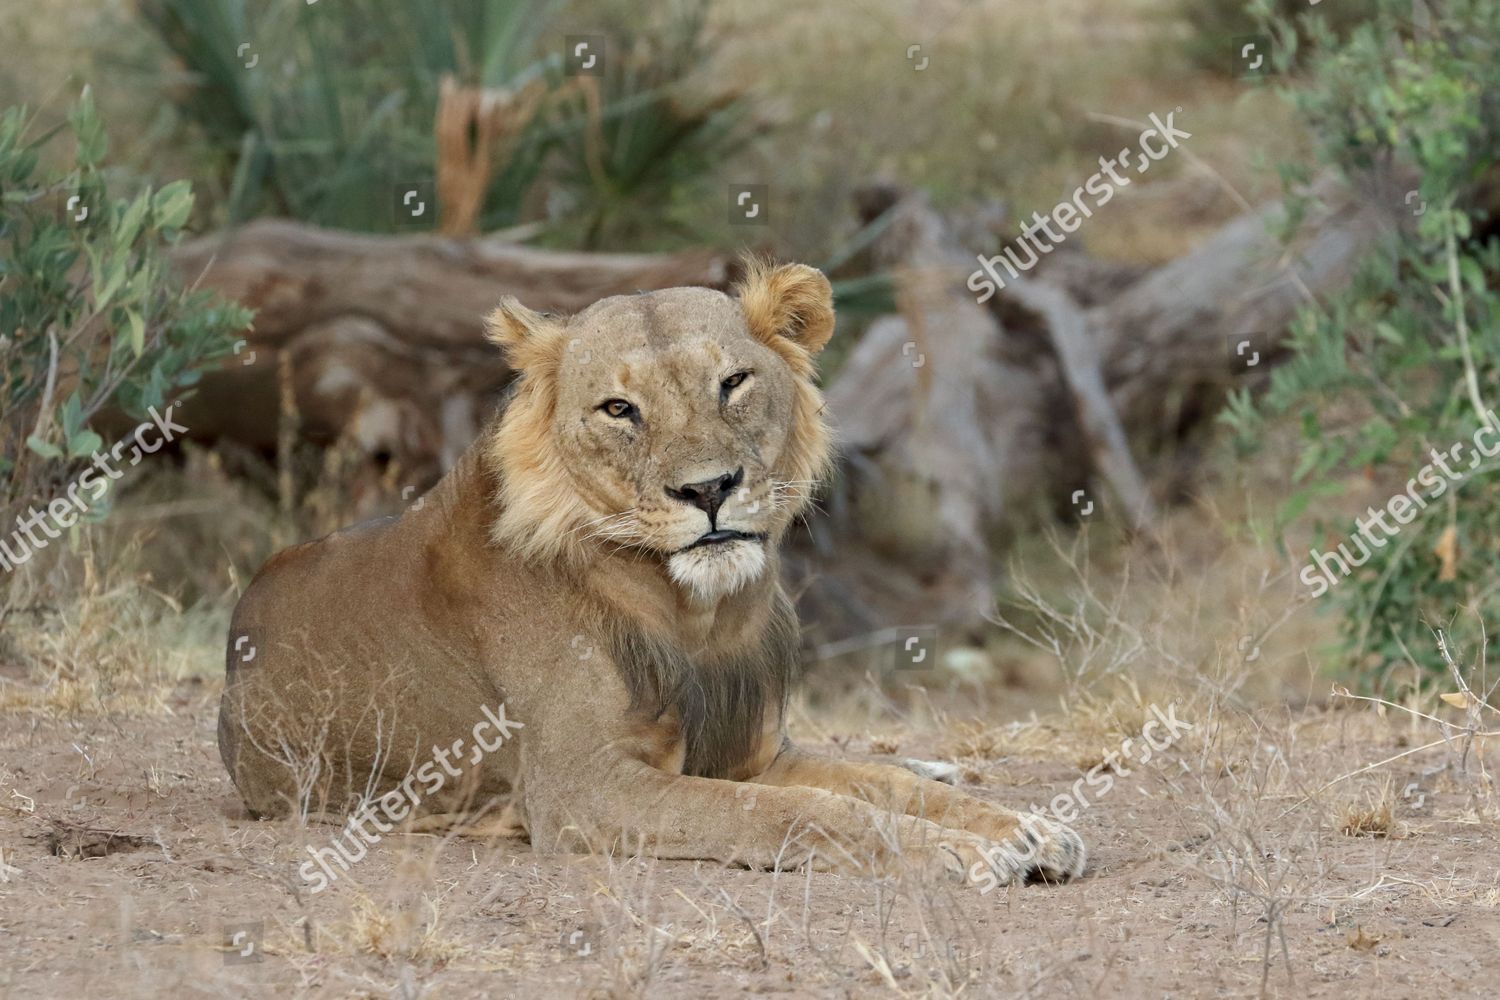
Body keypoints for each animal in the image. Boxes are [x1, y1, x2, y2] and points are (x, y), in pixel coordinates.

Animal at [217, 257, 1086, 893]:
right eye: (619, 410)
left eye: (732, 383)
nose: (708, 490)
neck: (696, 612)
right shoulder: (582, 790)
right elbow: (793, 813)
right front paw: (961, 853)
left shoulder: (751, 752)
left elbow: (889, 787)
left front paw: (1025, 829)